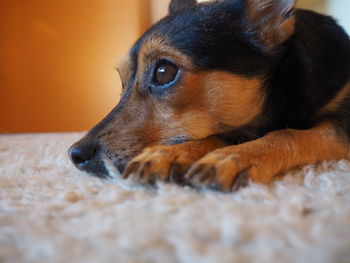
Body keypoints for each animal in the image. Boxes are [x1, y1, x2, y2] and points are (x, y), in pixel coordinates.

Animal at [68, 0, 350, 194]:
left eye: (164, 72)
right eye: (122, 81)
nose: (75, 154)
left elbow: (289, 133)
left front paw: (235, 157)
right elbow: (217, 133)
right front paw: (169, 154)